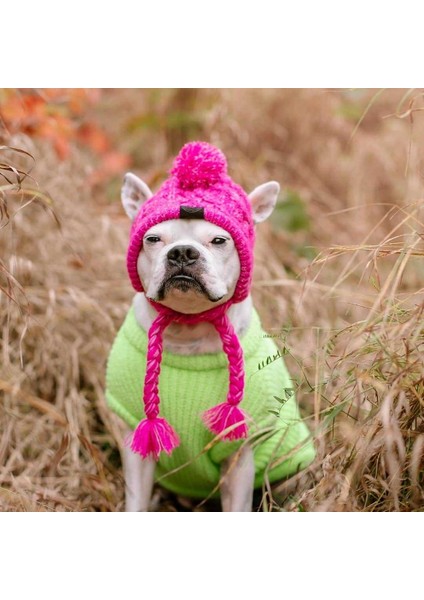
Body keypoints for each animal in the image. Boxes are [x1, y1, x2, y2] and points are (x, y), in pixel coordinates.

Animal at [104, 141, 314, 510]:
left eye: (219, 241)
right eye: (153, 239)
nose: (183, 252)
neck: (188, 329)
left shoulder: (239, 452)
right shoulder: (136, 444)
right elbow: (136, 502)